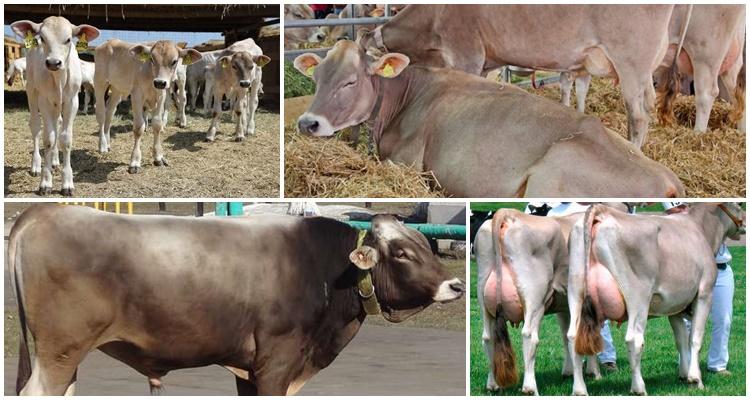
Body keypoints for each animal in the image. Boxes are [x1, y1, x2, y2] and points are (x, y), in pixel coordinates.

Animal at [8, 204, 465, 395]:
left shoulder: (248, 369)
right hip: (60, 352)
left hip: (63, 357)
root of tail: (43, 213)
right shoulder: (276, 363)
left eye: (423, 242)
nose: (456, 285)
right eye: (401, 253)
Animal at [10, 17, 100, 196]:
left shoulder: (72, 101)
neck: (58, 79)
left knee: (57, 123)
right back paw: (36, 165)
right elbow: (49, 139)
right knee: (36, 126)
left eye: (68, 39)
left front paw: (67, 182)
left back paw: (54, 160)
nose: (53, 62)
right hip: (32, 89)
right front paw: (45, 182)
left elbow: (65, 139)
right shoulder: (44, 100)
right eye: (42, 39)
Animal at [94, 39, 201, 173]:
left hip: (117, 88)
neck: (151, 77)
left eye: (174, 61)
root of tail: (108, 42)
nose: (160, 82)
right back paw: (102, 145)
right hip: (100, 82)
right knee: (101, 114)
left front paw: (158, 157)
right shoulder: (137, 95)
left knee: (110, 111)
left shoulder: (161, 96)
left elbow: (157, 125)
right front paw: (135, 161)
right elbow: (139, 127)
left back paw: (108, 143)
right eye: (151, 59)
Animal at [560, 5, 746, 132]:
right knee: (739, 92)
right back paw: (741, 130)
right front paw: (576, 111)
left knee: (706, 94)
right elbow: (577, 86)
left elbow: (570, 82)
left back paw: (698, 134)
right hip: (731, 57)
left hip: (705, 53)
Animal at [566, 202, 744, 395]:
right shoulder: (705, 293)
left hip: (575, 290)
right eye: (739, 204)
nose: (744, 223)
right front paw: (695, 379)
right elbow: (695, 338)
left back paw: (579, 390)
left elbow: (681, 340)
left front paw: (684, 375)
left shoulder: (675, 305)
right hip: (638, 297)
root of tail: (603, 211)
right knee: (634, 339)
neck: (700, 227)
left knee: (573, 337)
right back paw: (639, 388)